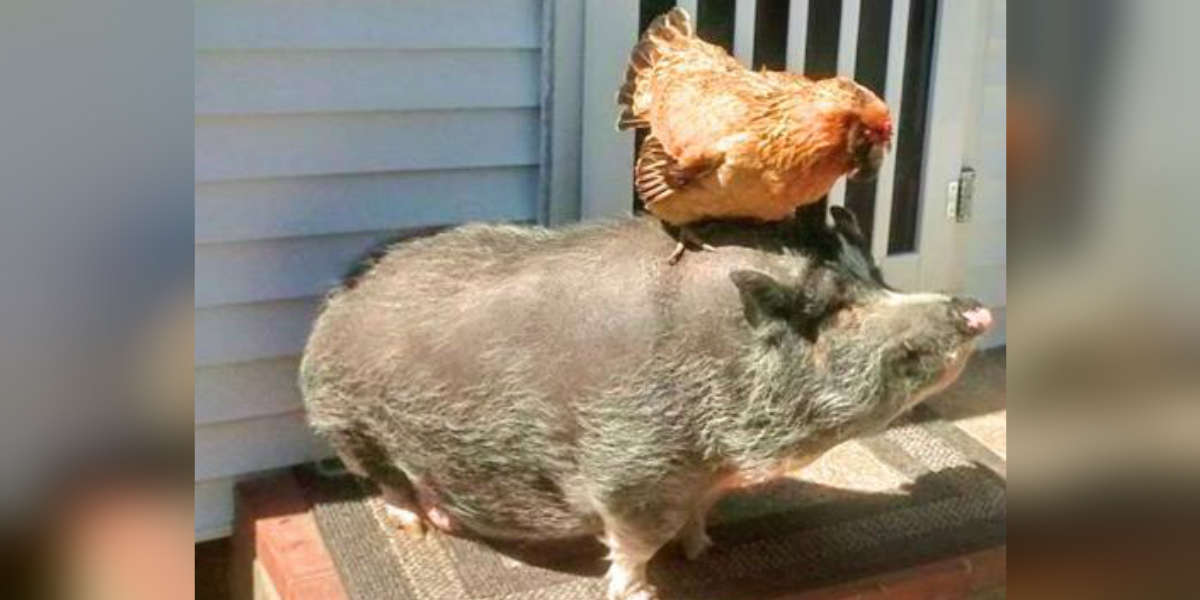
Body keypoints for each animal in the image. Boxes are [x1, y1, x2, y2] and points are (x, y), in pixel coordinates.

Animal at [295, 206, 988, 600]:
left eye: (878, 278)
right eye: (836, 310)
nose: (971, 307)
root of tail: (336, 298)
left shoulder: (700, 479)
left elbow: (697, 518)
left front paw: (709, 549)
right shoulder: (630, 472)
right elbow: (633, 543)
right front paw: (643, 592)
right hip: (350, 425)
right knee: (389, 481)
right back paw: (419, 523)